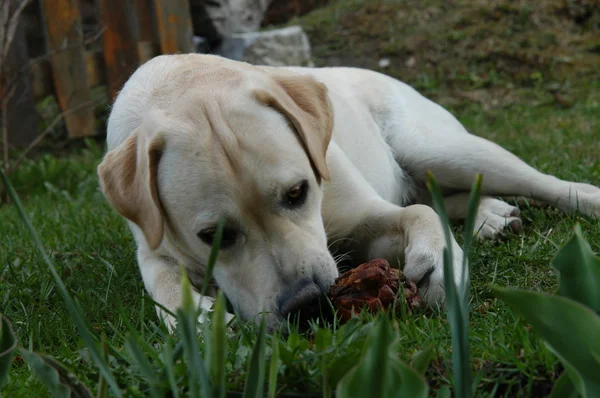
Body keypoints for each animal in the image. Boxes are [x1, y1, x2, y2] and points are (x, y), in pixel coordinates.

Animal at [96, 52, 596, 330]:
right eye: (213, 236)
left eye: (298, 193)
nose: (305, 303)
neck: (182, 83)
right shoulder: (155, 248)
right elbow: (162, 282)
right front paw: (197, 318)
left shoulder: (363, 217)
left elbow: (418, 215)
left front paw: (441, 264)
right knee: (434, 194)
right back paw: (491, 214)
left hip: (436, 147)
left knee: (538, 183)